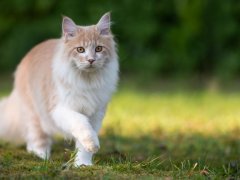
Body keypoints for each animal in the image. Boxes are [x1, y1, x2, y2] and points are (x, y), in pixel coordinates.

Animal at [0, 12, 119, 167]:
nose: (91, 60)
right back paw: (42, 157)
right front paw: (92, 144)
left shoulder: (95, 114)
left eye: (98, 48)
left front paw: (83, 164)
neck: (87, 82)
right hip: (35, 113)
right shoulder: (60, 109)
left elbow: (83, 145)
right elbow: (82, 124)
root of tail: (28, 55)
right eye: (80, 50)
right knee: (36, 138)